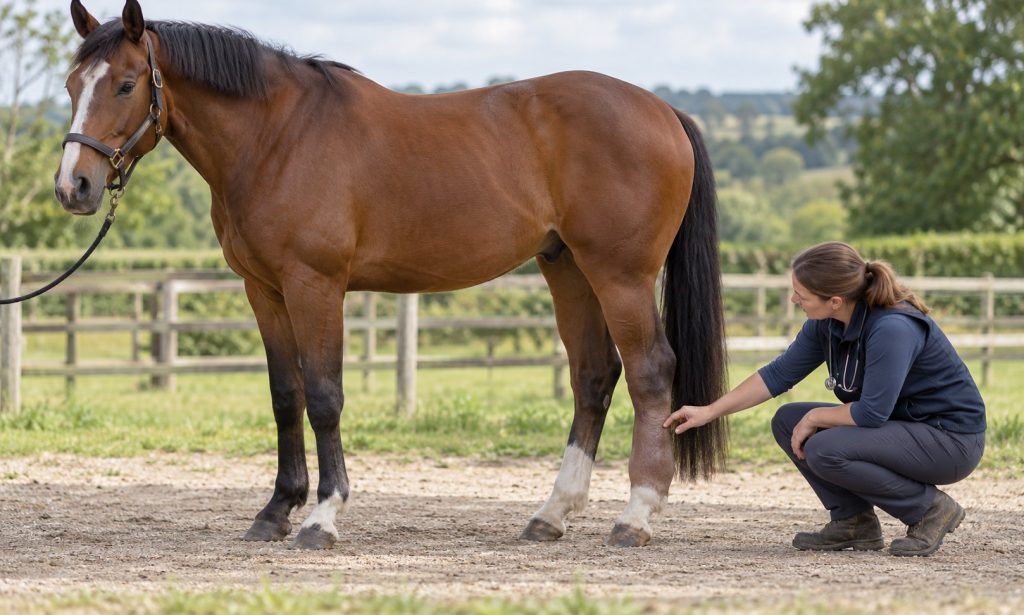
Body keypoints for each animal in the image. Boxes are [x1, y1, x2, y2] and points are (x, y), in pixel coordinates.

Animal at [55, 0, 728, 549]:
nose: (73, 187)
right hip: (567, 269)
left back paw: (635, 516)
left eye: (125, 84)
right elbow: (284, 396)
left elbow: (324, 397)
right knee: (594, 376)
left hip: (620, 275)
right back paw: (550, 515)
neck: (277, 136)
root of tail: (662, 109)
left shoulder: (315, 286)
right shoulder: (264, 291)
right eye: (70, 85)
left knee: (649, 372)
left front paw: (322, 518)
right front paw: (274, 512)